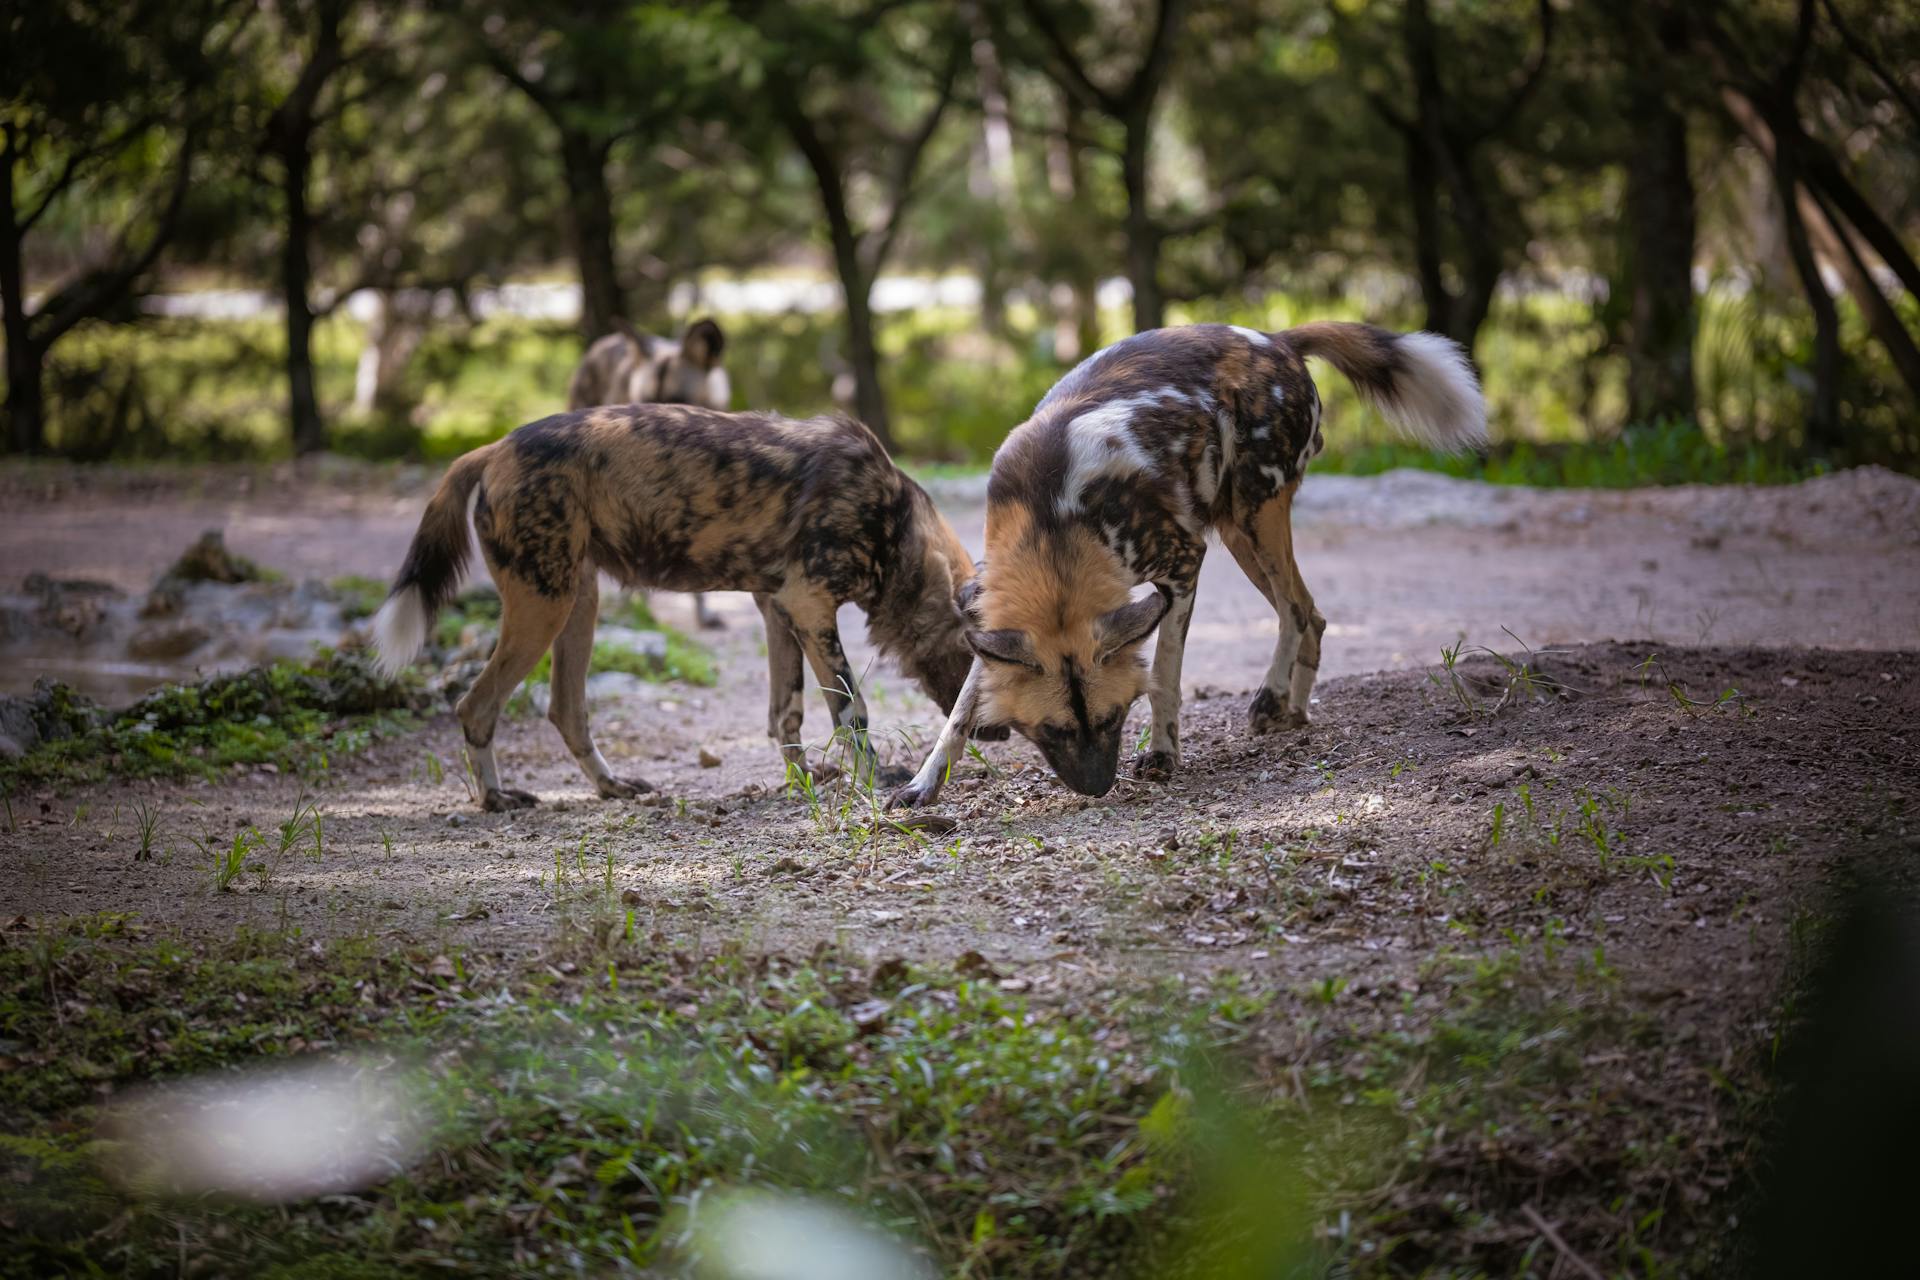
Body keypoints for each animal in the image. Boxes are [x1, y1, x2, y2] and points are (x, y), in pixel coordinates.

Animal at [368, 404, 983, 817]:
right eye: (974, 654)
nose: (987, 730)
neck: (893, 525)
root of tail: (495, 447)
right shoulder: (809, 606)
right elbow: (851, 711)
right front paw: (875, 781)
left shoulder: (779, 608)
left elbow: (785, 711)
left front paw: (803, 779)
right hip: (543, 605)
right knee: (476, 705)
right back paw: (496, 798)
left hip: (576, 602)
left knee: (566, 710)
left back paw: (611, 787)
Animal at [894, 320, 1482, 805]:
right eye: (1053, 730)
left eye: (1113, 718)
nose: (1098, 787)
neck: (1055, 522)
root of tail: (1277, 340)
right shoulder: (992, 619)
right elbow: (960, 712)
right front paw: (924, 783)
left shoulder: (1180, 570)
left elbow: (1164, 675)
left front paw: (1162, 754)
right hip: (1241, 534)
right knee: (1309, 612)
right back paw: (1293, 712)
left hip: (1255, 516)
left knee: (1294, 610)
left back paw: (1271, 698)